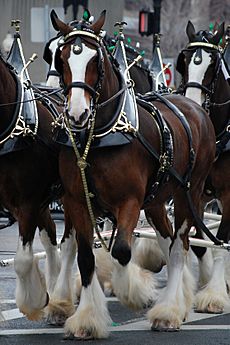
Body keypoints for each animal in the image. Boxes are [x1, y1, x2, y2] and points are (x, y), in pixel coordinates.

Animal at [51, 11, 216, 338]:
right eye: (61, 59)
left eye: (95, 59)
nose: (77, 114)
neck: (100, 136)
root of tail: (194, 107)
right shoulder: (76, 201)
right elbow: (85, 257)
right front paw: (87, 318)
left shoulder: (129, 201)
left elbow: (122, 251)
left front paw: (134, 292)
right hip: (157, 201)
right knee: (167, 241)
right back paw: (178, 300)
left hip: (188, 194)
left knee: (179, 246)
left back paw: (169, 311)